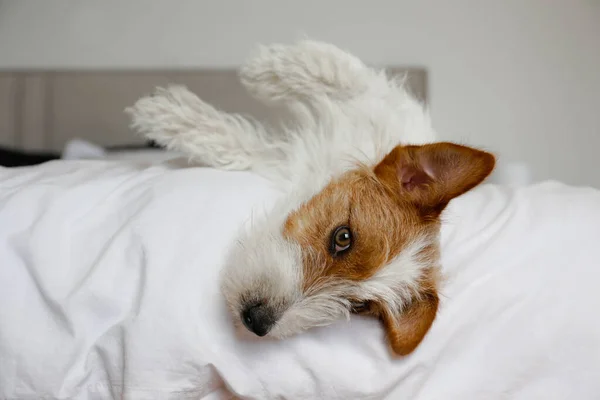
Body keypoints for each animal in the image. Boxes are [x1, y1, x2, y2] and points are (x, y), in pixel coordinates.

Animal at [125, 40, 492, 354]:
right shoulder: (380, 110)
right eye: (343, 237)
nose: (257, 322)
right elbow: (342, 72)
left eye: (358, 306)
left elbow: (246, 148)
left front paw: (176, 118)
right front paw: (267, 69)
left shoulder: (280, 161)